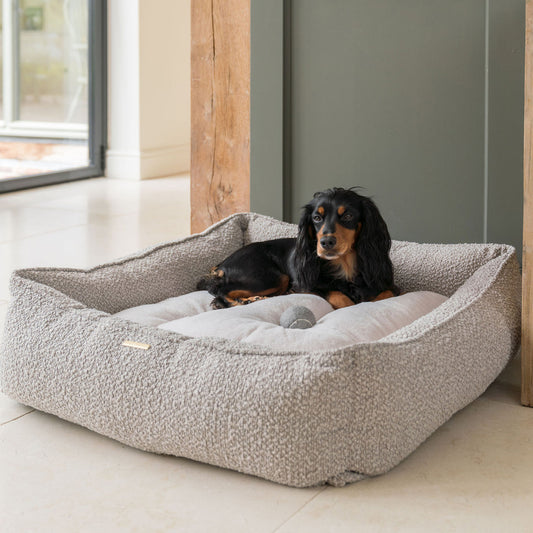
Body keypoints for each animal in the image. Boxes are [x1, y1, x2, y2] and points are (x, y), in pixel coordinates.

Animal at [198, 187, 400, 310]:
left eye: (348, 215)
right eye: (317, 218)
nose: (326, 242)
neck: (344, 266)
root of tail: (222, 264)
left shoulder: (388, 285)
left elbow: (388, 293)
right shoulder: (305, 286)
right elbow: (339, 297)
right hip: (273, 277)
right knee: (219, 291)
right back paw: (248, 300)